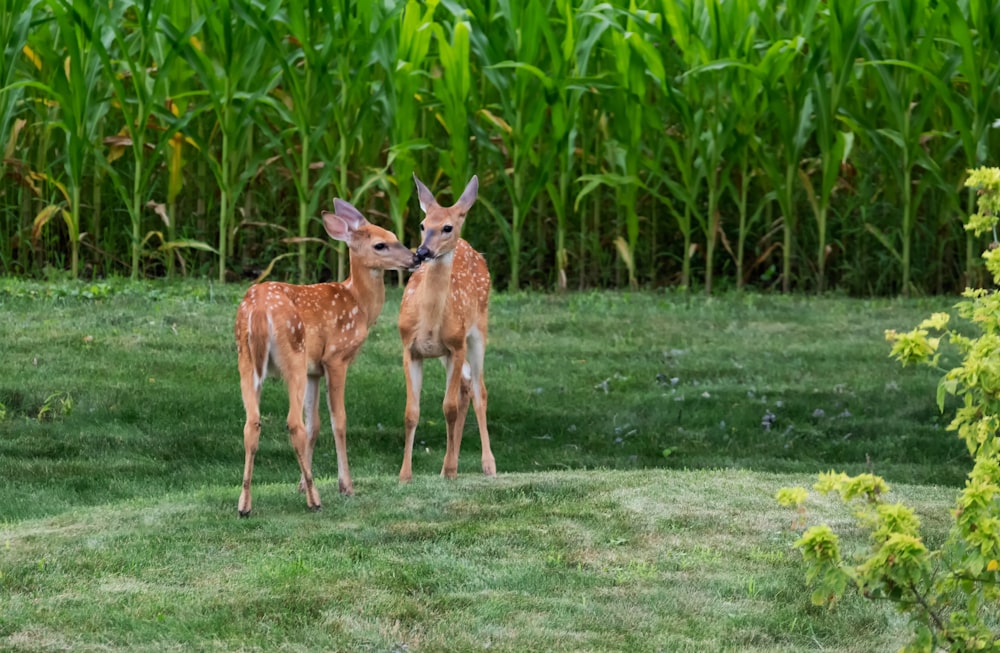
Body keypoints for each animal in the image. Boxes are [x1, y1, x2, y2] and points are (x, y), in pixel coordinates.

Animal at [234, 199, 418, 516]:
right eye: (380, 244)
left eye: (395, 236)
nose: (417, 256)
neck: (359, 305)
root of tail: (258, 311)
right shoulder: (335, 358)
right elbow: (338, 421)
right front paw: (346, 485)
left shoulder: (313, 370)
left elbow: (315, 425)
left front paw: (300, 483)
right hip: (293, 355)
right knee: (293, 423)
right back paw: (314, 499)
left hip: (246, 360)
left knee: (252, 422)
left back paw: (245, 504)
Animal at [394, 176, 496, 482]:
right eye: (422, 224)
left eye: (447, 227)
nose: (422, 252)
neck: (428, 322)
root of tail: (469, 245)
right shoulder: (410, 349)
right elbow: (411, 413)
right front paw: (405, 475)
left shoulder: (456, 345)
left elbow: (448, 408)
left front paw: (450, 470)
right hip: (445, 353)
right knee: (466, 387)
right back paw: (450, 463)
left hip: (477, 333)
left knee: (479, 390)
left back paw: (486, 465)